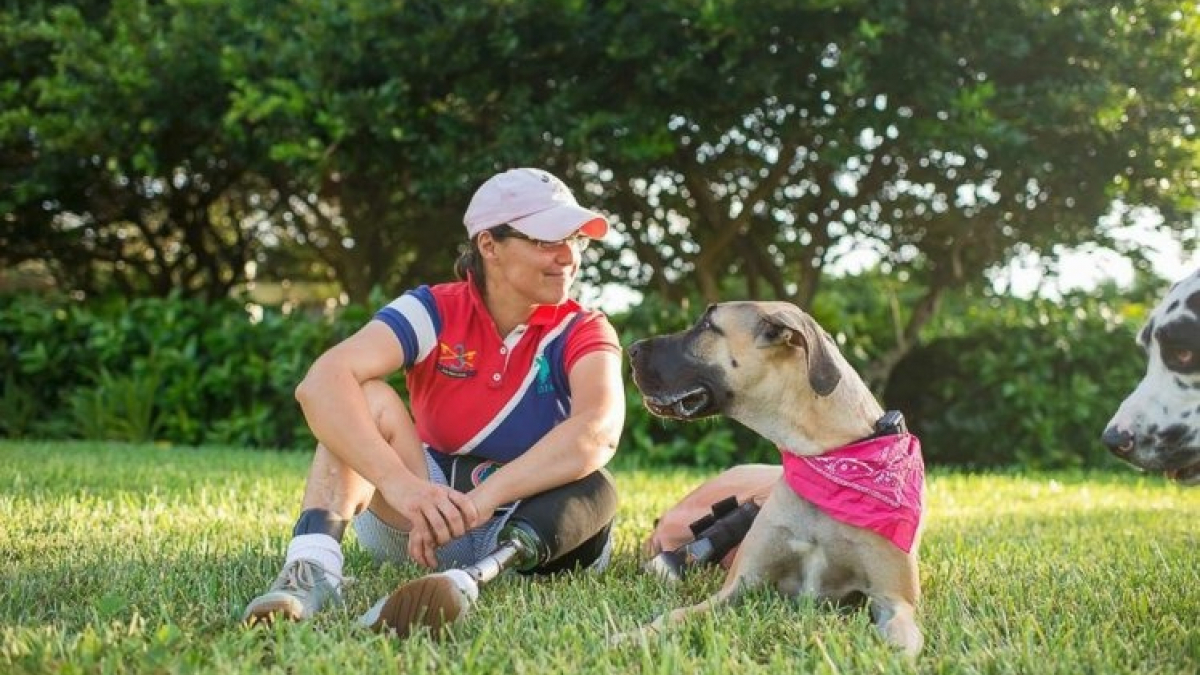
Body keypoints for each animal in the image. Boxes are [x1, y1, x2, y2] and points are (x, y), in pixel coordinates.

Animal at [624, 299, 921, 653]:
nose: (631, 349)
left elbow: (902, 642)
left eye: (707, 326)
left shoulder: (895, 601)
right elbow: (677, 614)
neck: (822, 456)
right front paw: (634, 635)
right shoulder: (739, 586)